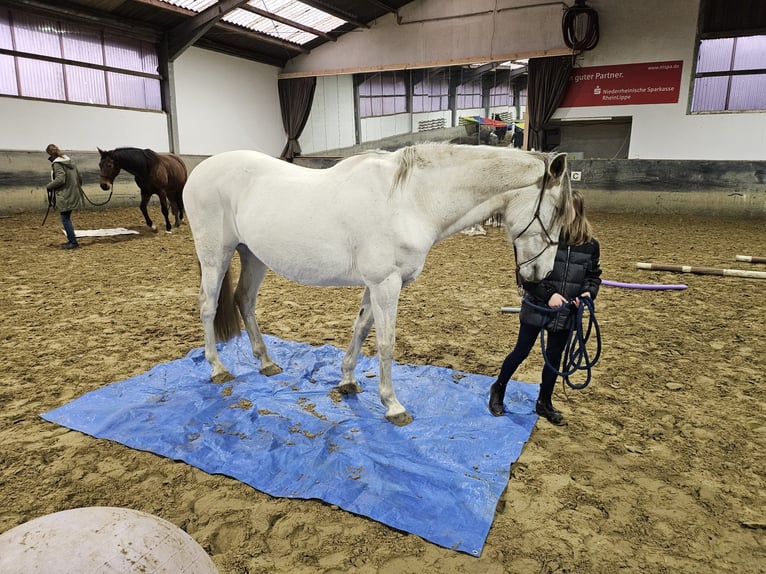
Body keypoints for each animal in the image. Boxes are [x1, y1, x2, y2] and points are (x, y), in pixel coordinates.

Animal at [184, 143, 573, 426]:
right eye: (557, 212)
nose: (540, 276)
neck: (411, 200)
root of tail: (199, 172)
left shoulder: (376, 284)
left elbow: (360, 328)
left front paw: (347, 381)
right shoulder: (387, 284)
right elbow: (386, 343)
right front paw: (393, 405)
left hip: (253, 256)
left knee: (244, 300)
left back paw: (266, 362)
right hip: (216, 255)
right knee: (208, 305)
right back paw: (218, 368)